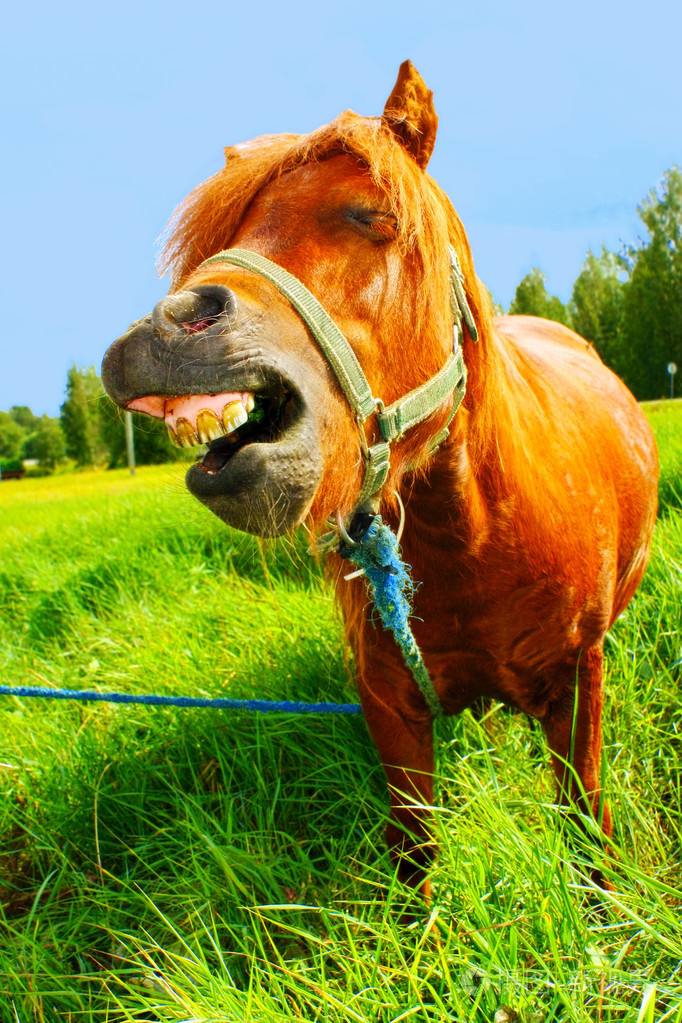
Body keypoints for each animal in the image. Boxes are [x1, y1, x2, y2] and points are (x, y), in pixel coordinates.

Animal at [102, 61, 659, 899]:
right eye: (230, 234)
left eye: (372, 215)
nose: (167, 331)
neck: (474, 536)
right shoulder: (390, 704)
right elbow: (416, 856)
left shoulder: (577, 682)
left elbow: (588, 828)